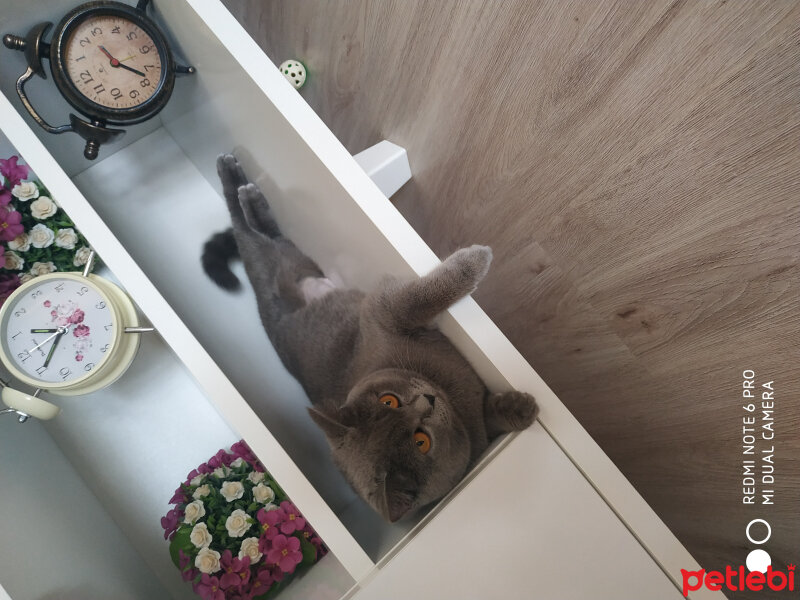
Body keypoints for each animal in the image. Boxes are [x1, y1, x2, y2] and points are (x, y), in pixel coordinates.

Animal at [203, 155, 536, 520]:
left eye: (388, 400)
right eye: (421, 441)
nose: (427, 401)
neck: (448, 389)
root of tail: (265, 312)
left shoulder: (382, 311)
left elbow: (423, 296)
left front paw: (520, 408)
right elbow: (432, 296)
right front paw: (477, 258)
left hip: (293, 263)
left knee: (256, 231)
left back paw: (242, 187)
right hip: (276, 263)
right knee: (248, 234)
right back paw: (237, 182)